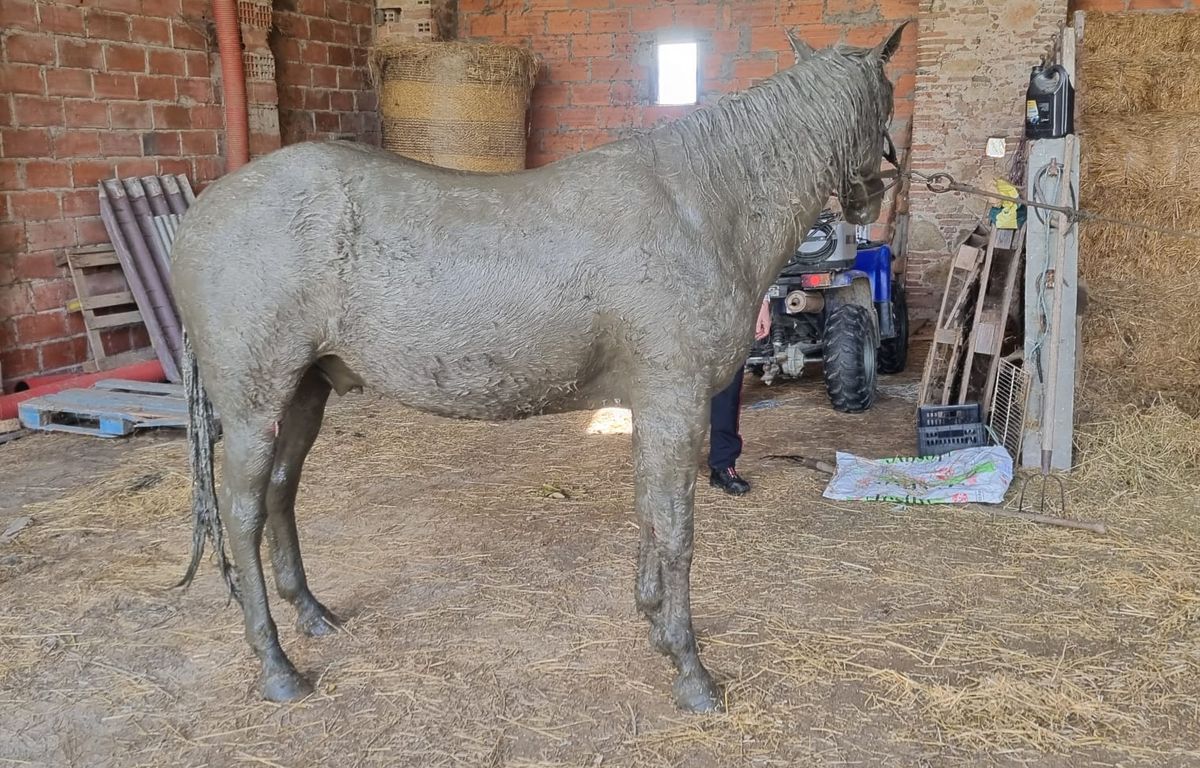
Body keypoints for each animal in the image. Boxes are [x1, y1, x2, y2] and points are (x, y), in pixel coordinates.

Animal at [172, 24, 907, 713]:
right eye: (890, 97)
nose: (872, 199)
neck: (701, 205)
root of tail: (200, 214)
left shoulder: (652, 405)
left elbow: (649, 511)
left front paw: (653, 623)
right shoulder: (676, 399)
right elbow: (675, 528)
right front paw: (690, 670)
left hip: (304, 394)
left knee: (280, 494)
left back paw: (312, 614)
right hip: (254, 410)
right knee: (243, 515)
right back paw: (276, 666)